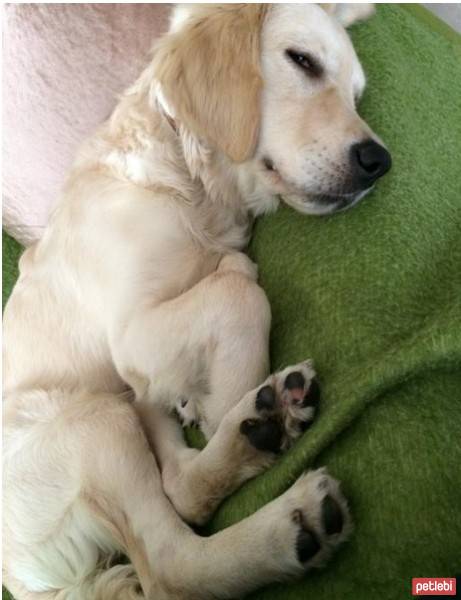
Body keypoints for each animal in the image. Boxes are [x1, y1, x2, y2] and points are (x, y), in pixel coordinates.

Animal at [3, 5, 392, 600]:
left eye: (356, 95)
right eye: (302, 61)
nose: (379, 161)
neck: (189, 184)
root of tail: (25, 578)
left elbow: (228, 276)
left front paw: (204, 401)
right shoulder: (130, 335)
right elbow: (241, 285)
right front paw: (228, 401)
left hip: (122, 407)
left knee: (177, 483)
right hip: (91, 419)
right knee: (173, 564)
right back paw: (277, 489)